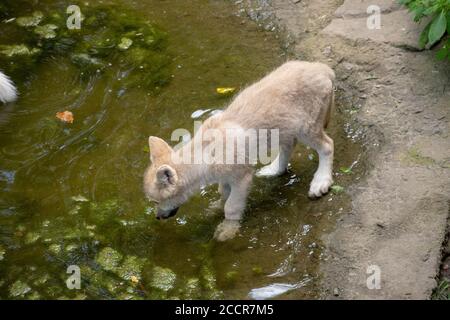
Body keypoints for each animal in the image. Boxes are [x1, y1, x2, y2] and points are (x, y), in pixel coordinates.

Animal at [143, 60, 334, 240]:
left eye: (155, 201)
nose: (158, 217)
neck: (206, 154)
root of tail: (324, 68)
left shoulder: (242, 179)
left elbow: (232, 207)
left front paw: (227, 230)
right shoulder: (226, 178)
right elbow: (223, 196)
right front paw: (215, 208)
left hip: (306, 129)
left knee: (327, 146)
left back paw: (320, 182)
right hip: (286, 128)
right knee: (289, 146)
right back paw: (273, 170)